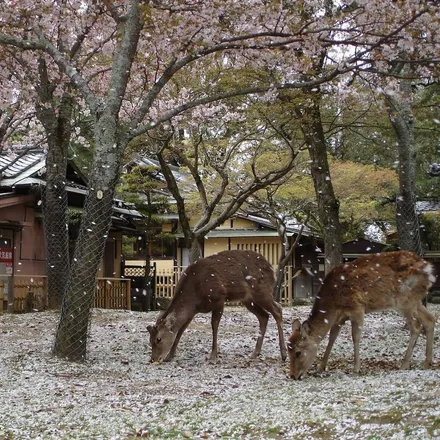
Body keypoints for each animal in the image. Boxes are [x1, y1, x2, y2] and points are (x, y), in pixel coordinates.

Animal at [146, 249, 288, 362]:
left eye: (158, 339)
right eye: (150, 340)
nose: (153, 359)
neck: (194, 295)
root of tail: (271, 268)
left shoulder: (219, 298)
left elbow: (214, 326)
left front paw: (213, 356)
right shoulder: (192, 311)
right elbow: (181, 330)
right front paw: (170, 356)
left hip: (262, 291)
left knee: (277, 310)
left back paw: (284, 354)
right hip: (248, 300)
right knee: (264, 316)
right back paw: (255, 353)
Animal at [288, 249, 434, 380]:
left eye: (298, 353)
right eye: (288, 350)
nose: (293, 376)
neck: (333, 304)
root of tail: (429, 270)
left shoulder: (357, 308)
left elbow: (355, 337)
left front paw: (356, 369)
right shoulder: (339, 318)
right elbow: (332, 338)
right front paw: (320, 367)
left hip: (405, 299)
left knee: (416, 326)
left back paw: (404, 365)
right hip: (415, 300)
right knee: (430, 319)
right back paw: (427, 363)